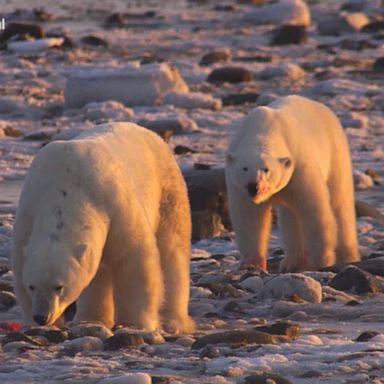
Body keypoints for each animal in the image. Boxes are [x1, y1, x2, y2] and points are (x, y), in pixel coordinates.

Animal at [12, 123, 195, 332]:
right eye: (32, 286)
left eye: (59, 287)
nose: (41, 317)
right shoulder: (29, 211)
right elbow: (20, 266)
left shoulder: (114, 202)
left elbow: (133, 259)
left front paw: (134, 323)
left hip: (168, 190)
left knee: (172, 249)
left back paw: (174, 320)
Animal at [225, 94, 360, 272]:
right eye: (244, 168)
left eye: (266, 169)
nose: (254, 186)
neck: (264, 129)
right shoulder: (239, 188)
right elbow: (249, 218)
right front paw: (251, 264)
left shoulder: (299, 167)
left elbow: (314, 211)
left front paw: (321, 261)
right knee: (290, 217)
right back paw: (292, 262)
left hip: (336, 153)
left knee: (340, 203)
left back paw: (348, 257)